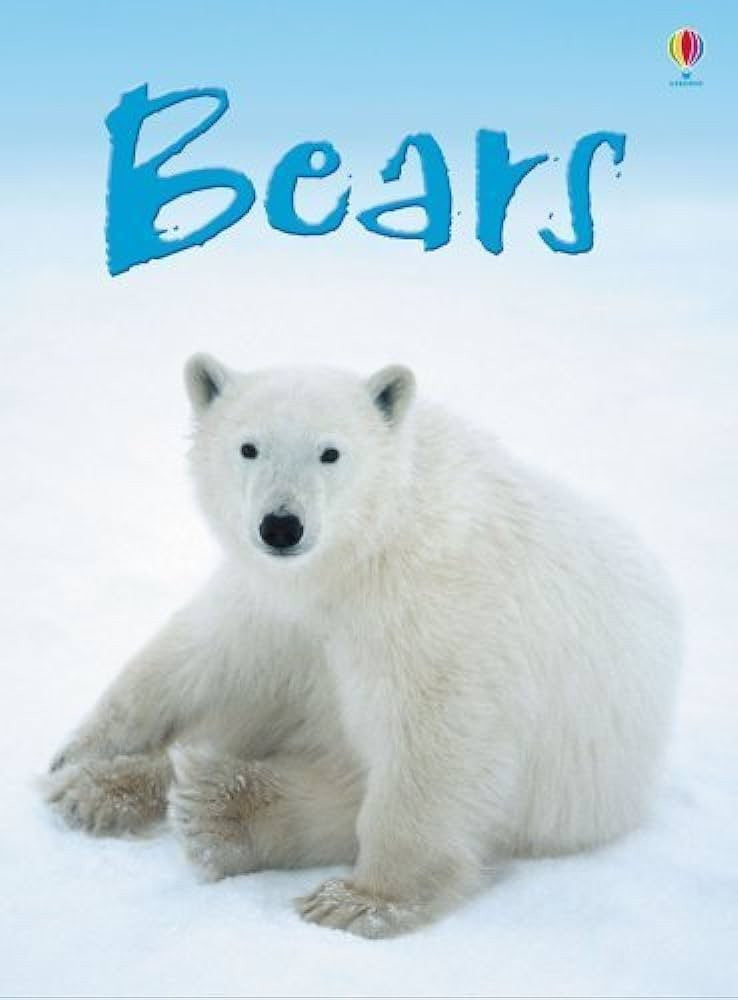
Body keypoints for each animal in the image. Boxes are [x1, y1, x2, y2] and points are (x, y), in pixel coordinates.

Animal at [44, 354, 682, 937]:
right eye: (249, 447)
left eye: (330, 453)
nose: (281, 526)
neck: (361, 553)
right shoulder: (278, 607)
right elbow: (210, 652)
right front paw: (79, 755)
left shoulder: (431, 609)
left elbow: (436, 736)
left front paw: (362, 901)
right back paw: (105, 790)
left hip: (568, 793)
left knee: (346, 791)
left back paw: (215, 809)